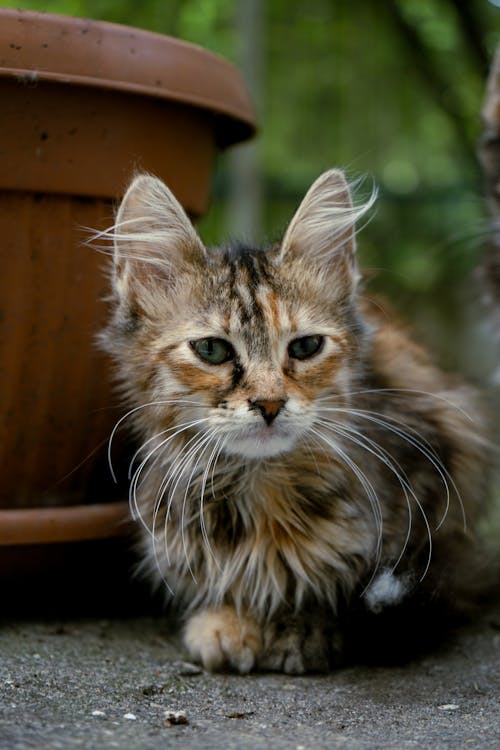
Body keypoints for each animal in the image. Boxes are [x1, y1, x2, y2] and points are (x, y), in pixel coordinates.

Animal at [100, 169, 492, 676]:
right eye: (212, 350)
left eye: (305, 347)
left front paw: (301, 627)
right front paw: (228, 622)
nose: (269, 403)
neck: (262, 497)